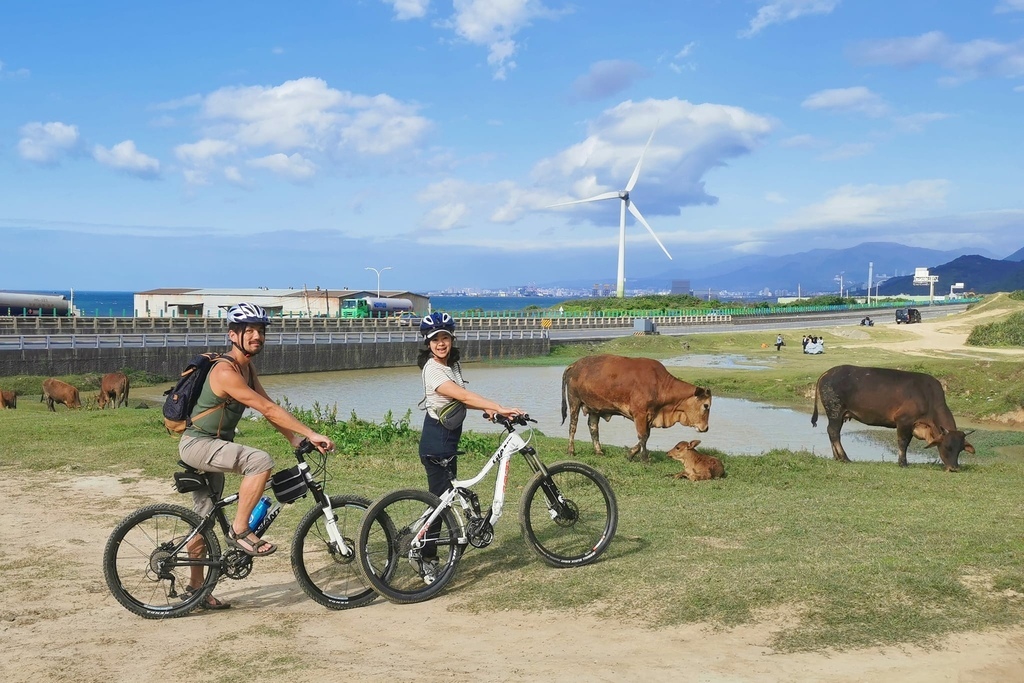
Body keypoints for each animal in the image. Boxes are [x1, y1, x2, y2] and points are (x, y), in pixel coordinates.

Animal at [561, 356, 712, 462]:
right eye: (706, 405)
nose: (705, 428)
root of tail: (575, 364)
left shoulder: (649, 416)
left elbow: (645, 437)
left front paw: (630, 454)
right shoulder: (640, 414)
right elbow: (643, 436)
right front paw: (644, 458)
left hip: (594, 408)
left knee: (593, 428)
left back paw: (599, 451)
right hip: (574, 401)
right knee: (573, 426)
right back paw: (571, 450)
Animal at [806, 366, 974, 473]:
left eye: (960, 449)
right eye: (947, 447)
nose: (954, 468)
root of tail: (827, 372)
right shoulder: (904, 421)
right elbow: (903, 443)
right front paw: (903, 463)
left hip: (840, 415)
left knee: (833, 432)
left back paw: (837, 457)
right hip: (835, 411)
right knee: (833, 432)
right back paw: (845, 458)